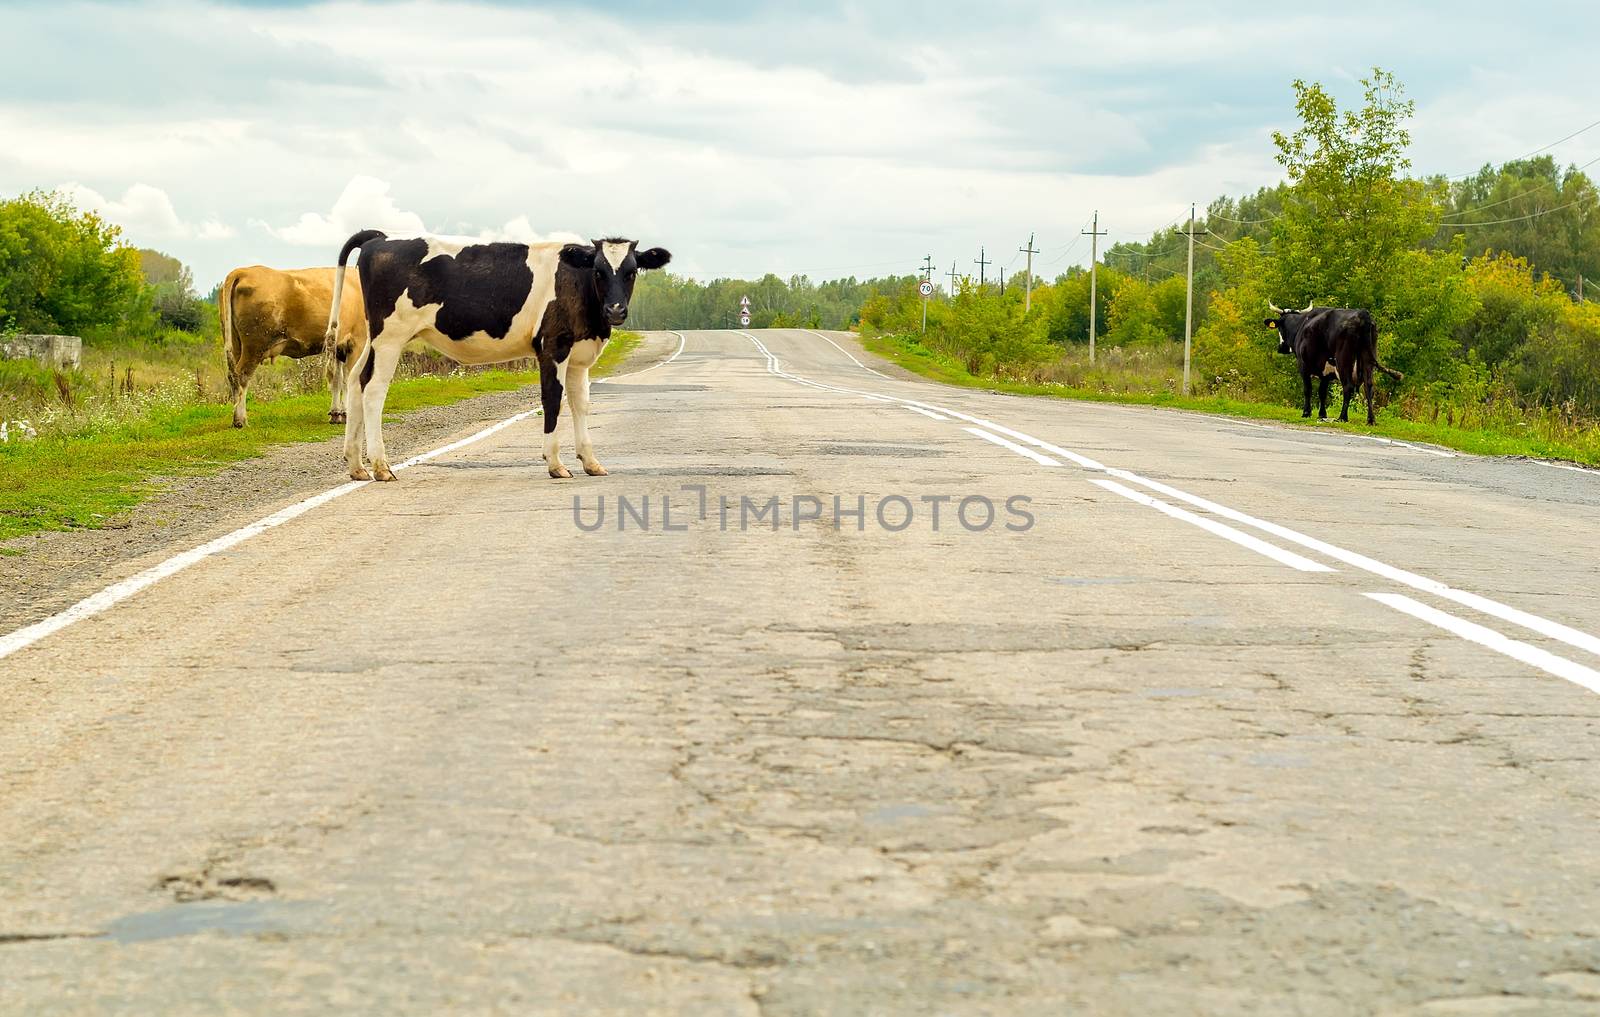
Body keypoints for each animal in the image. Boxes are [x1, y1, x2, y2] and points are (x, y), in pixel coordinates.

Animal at [219, 265, 368, 425]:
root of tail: (242, 271)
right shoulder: (357, 341)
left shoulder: (339, 347)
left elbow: (338, 380)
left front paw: (338, 413)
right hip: (254, 347)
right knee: (241, 375)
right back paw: (240, 420)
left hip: (236, 344)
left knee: (232, 375)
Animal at [1267, 303, 1408, 428]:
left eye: (1280, 328)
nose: (1281, 348)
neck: (1301, 326)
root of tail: (1363, 314)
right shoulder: (1325, 372)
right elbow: (1322, 392)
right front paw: (1322, 414)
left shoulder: (1303, 365)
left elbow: (1308, 389)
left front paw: (1306, 413)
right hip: (1367, 357)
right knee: (1369, 386)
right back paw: (1370, 420)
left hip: (1343, 359)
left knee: (1348, 387)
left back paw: (1342, 417)